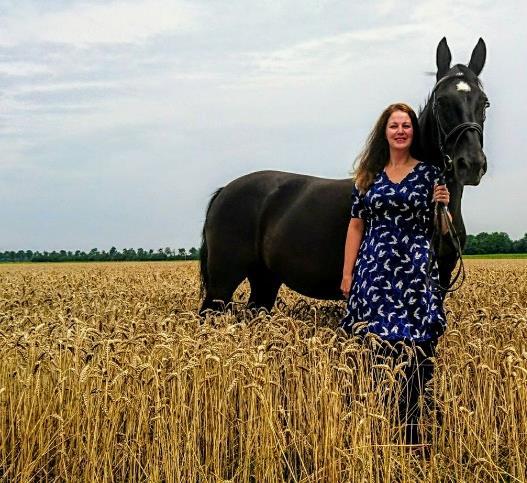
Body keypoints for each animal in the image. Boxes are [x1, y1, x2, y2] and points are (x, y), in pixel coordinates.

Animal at [199, 38, 490, 318]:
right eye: (441, 101)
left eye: (484, 102)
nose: (471, 164)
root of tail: (225, 191)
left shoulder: (442, 276)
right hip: (222, 284)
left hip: (265, 279)